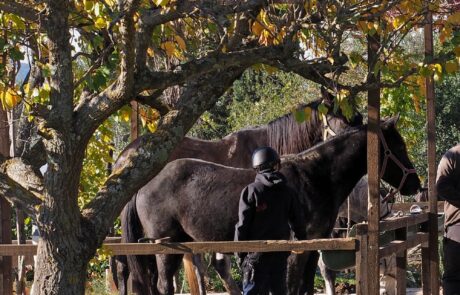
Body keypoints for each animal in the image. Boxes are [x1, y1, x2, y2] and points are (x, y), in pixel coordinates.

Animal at [121, 117, 420, 294]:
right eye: (398, 147)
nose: (415, 185)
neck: (314, 176)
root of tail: (145, 184)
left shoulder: (315, 246)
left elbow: (306, 286)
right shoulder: (298, 249)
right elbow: (294, 287)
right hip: (164, 247)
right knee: (162, 285)